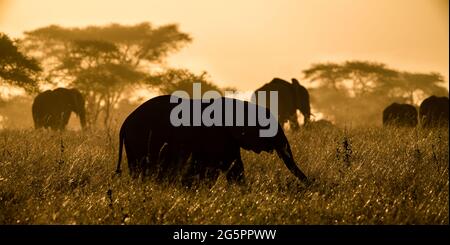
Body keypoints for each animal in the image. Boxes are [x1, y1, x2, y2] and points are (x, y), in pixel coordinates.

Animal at [114, 94, 308, 186]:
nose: (310, 183)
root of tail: (124, 123)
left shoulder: (228, 139)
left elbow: (233, 167)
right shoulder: (216, 135)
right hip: (139, 140)